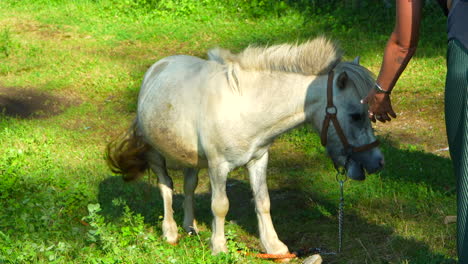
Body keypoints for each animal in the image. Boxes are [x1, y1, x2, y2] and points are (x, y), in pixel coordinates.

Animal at [107, 36, 384, 256]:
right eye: (356, 115)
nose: (377, 162)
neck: (245, 107)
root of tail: (156, 69)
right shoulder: (218, 166)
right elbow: (220, 206)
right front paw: (219, 247)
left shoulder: (258, 159)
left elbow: (263, 201)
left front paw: (274, 246)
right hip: (156, 154)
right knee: (166, 186)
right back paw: (171, 232)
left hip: (191, 159)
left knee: (188, 187)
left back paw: (190, 227)